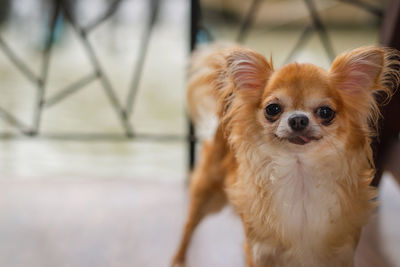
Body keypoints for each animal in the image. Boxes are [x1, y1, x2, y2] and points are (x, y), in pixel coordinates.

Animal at [172, 44, 400, 267]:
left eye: (326, 112)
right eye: (272, 109)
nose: (298, 119)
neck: (300, 175)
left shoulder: (341, 254)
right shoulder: (260, 253)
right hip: (209, 194)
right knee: (188, 226)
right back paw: (178, 259)